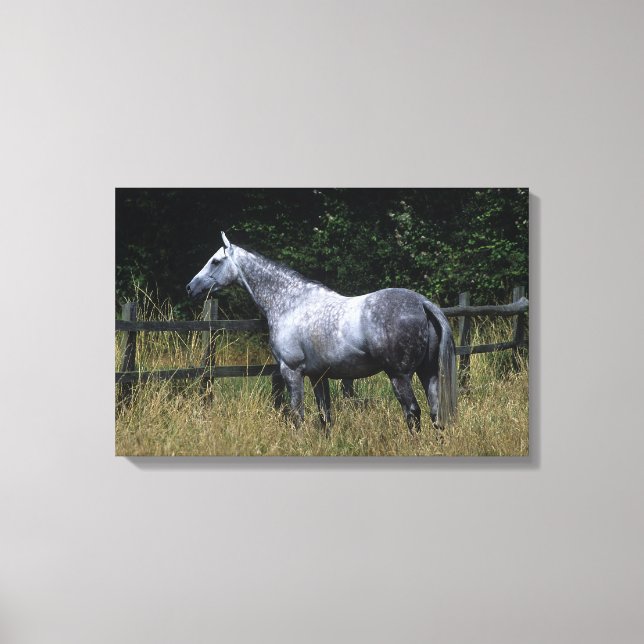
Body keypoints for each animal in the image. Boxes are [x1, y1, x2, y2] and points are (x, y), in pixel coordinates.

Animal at [186, 232, 457, 435]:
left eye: (215, 261)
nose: (190, 288)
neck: (290, 303)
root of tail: (422, 303)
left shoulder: (292, 371)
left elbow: (297, 415)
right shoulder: (319, 376)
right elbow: (325, 416)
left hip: (400, 376)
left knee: (413, 414)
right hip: (428, 373)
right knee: (435, 413)